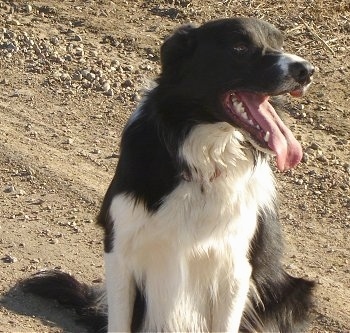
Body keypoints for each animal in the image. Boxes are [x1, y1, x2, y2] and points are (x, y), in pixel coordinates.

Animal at [23, 18, 316, 332]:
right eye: (240, 47)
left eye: (279, 43)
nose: (306, 70)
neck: (201, 161)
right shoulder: (119, 248)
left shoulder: (236, 268)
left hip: (292, 293)